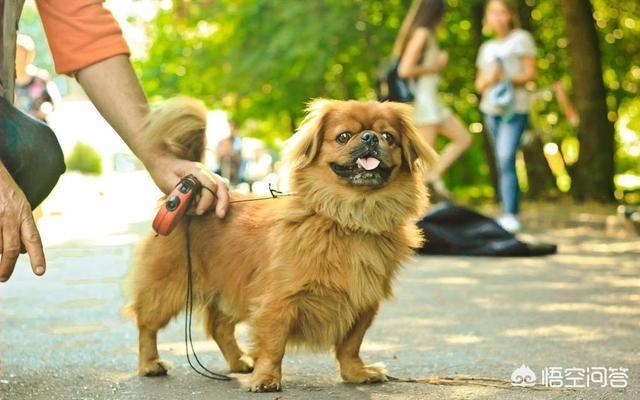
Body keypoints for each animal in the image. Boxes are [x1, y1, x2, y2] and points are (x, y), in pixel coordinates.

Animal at [123, 97, 438, 390]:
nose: (370, 137)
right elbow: (273, 346)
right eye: (344, 136)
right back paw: (150, 364)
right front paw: (266, 379)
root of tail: (186, 195)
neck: (350, 218)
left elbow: (350, 345)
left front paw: (357, 373)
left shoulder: (363, 304)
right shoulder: (278, 302)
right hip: (166, 288)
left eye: (388, 137)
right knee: (147, 326)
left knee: (220, 327)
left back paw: (239, 361)